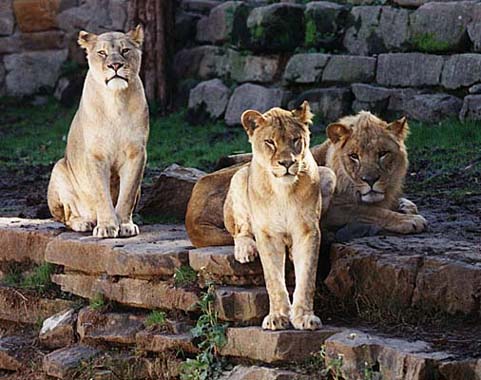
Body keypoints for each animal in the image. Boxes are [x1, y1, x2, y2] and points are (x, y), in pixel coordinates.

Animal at [47, 26, 148, 238]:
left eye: (125, 50)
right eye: (102, 53)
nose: (115, 65)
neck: (116, 100)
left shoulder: (136, 154)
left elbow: (127, 194)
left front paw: (124, 225)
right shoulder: (95, 155)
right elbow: (102, 194)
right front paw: (107, 226)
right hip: (59, 169)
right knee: (67, 217)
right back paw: (84, 223)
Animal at [186, 110, 426, 246]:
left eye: (383, 154)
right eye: (354, 156)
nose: (370, 180)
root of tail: (191, 217)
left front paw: (405, 207)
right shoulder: (337, 208)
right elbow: (370, 211)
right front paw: (409, 220)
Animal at [224, 103, 334, 330]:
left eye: (295, 139)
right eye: (270, 142)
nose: (287, 163)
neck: (282, 190)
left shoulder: (308, 231)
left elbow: (307, 278)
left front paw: (304, 317)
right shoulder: (267, 235)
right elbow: (273, 280)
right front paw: (277, 316)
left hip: (328, 174)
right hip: (239, 177)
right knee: (240, 230)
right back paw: (245, 250)